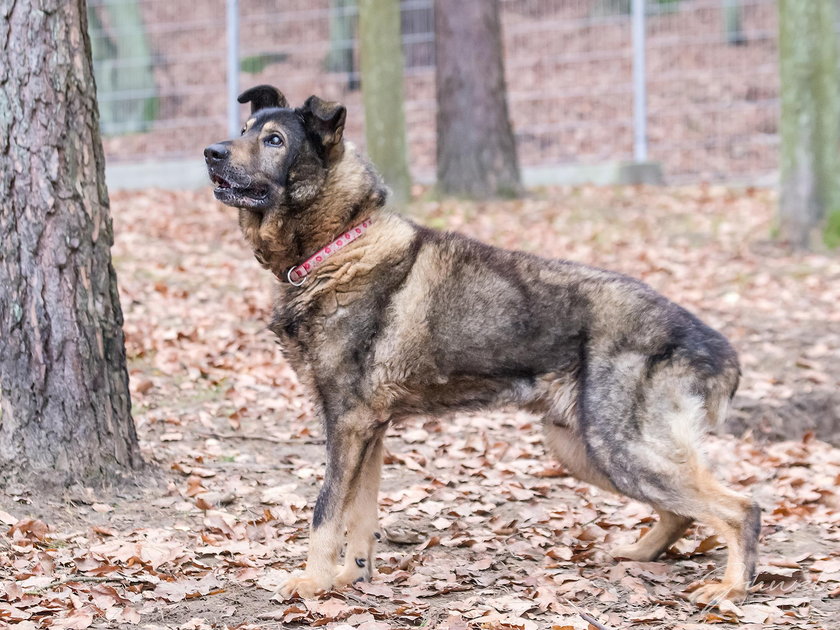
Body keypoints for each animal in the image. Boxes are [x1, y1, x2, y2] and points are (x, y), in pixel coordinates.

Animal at [205, 85, 760, 608]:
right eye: (244, 129)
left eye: (274, 141)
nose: (211, 152)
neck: (339, 245)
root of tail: (713, 344)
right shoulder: (369, 432)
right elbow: (359, 516)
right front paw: (350, 579)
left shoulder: (347, 426)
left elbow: (324, 510)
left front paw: (313, 582)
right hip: (585, 450)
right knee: (681, 513)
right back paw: (640, 553)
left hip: (620, 448)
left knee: (741, 508)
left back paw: (731, 588)